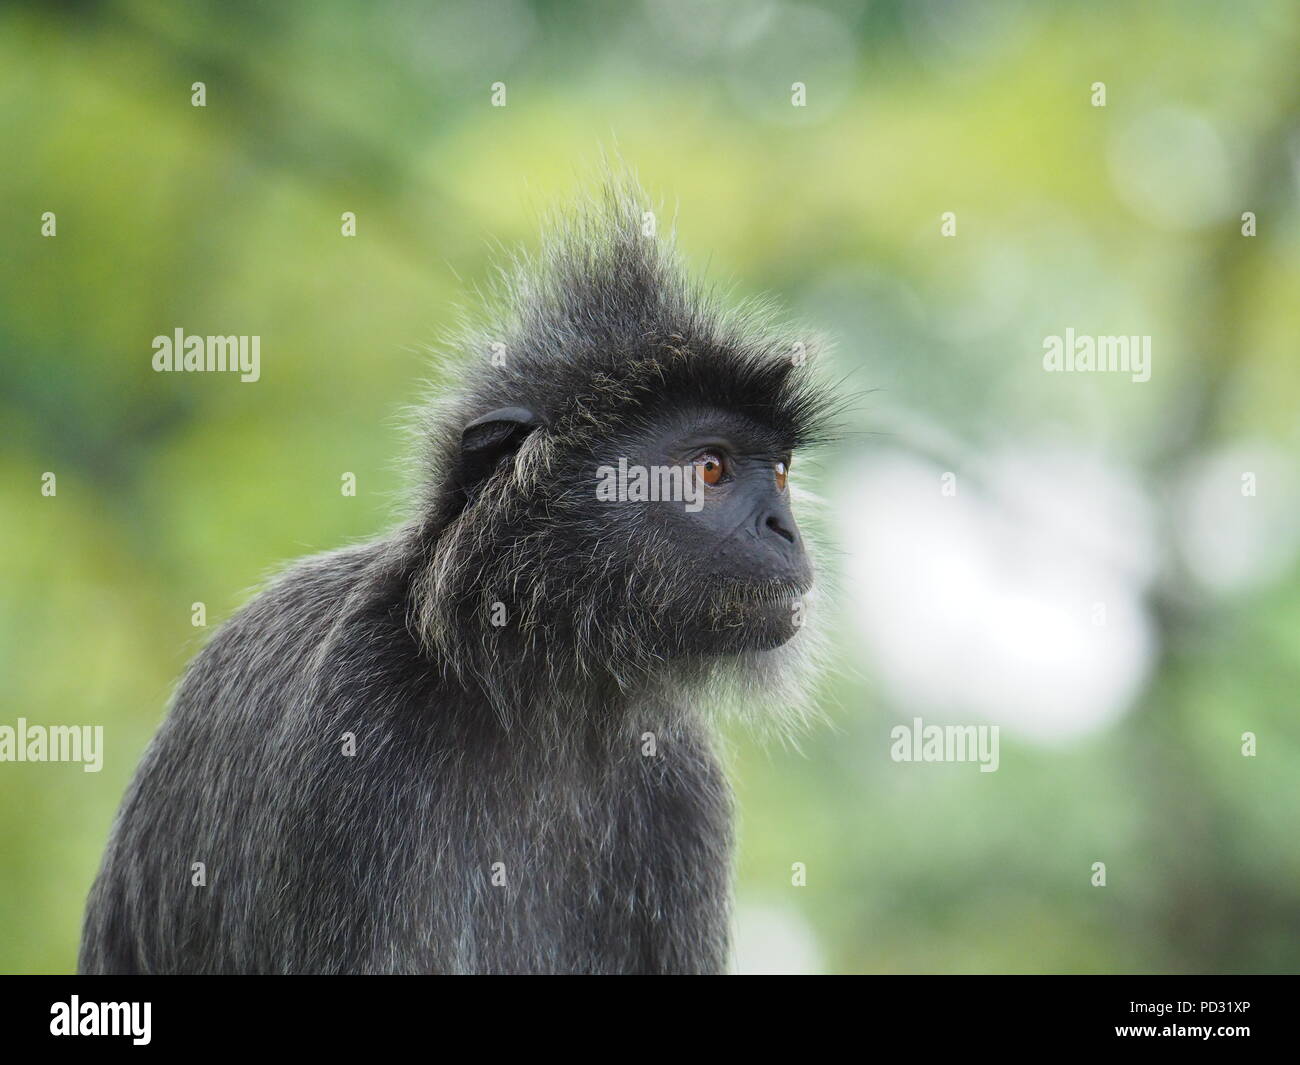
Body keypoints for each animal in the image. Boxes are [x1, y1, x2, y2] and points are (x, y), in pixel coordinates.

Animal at [78, 181, 836, 975]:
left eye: (781, 475)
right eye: (711, 468)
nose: (784, 529)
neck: (539, 695)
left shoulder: (685, 784)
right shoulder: (354, 719)